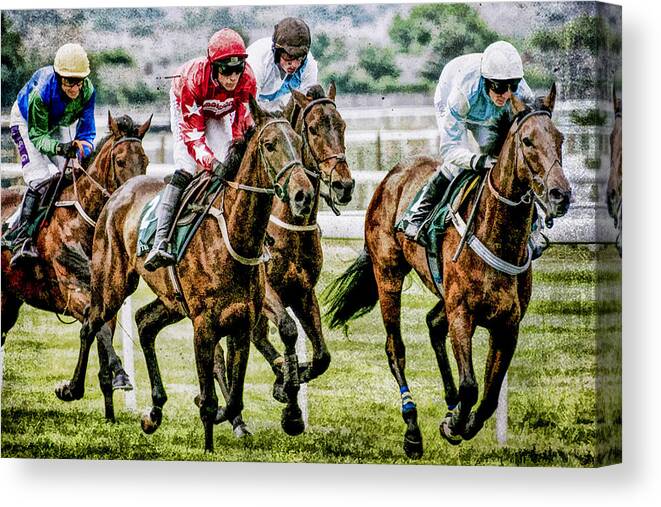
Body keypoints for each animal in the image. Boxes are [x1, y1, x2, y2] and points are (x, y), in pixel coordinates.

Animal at [1, 113, 151, 422]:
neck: (84, 223)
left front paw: (108, 406)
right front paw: (101, 380)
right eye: (120, 161)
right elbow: (93, 328)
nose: (136, 199)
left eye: (145, 160)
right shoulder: (72, 293)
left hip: (8, 301)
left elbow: (100, 332)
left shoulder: (106, 298)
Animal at [77, 98, 314, 452]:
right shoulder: (204, 325)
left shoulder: (241, 322)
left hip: (172, 301)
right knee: (90, 324)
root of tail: (119, 192)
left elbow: (234, 396)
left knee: (145, 322)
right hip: (112, 284)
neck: (233, 237)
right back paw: (72, 388)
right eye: (270, 144)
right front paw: (208, 443)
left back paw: (154, 411)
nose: (304, 195)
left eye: (299, 143)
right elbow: (213, 391)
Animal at [214, 83, 354, 436]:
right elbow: (288, 331)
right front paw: (289, 401)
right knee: (222, 350)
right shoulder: (267, 293)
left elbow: (321, 356)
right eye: (313, 128)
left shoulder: (303, 291)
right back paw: (233, 414)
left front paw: (291, 381)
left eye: (342, 125)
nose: (344, 185)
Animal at [322, 85, 568, 458]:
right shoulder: (463, 313)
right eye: (527, 141)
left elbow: (490, 395)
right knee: (396, 349)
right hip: (388, 274)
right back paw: (412, 429)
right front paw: (453, 424)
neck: (496, 237)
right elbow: (471, 385)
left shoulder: (508, 323)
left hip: (442, 294)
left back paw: (449, 403)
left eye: (561, 138)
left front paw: (462, 420)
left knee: (433, 322)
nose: (560, 194)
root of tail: (393, 174)